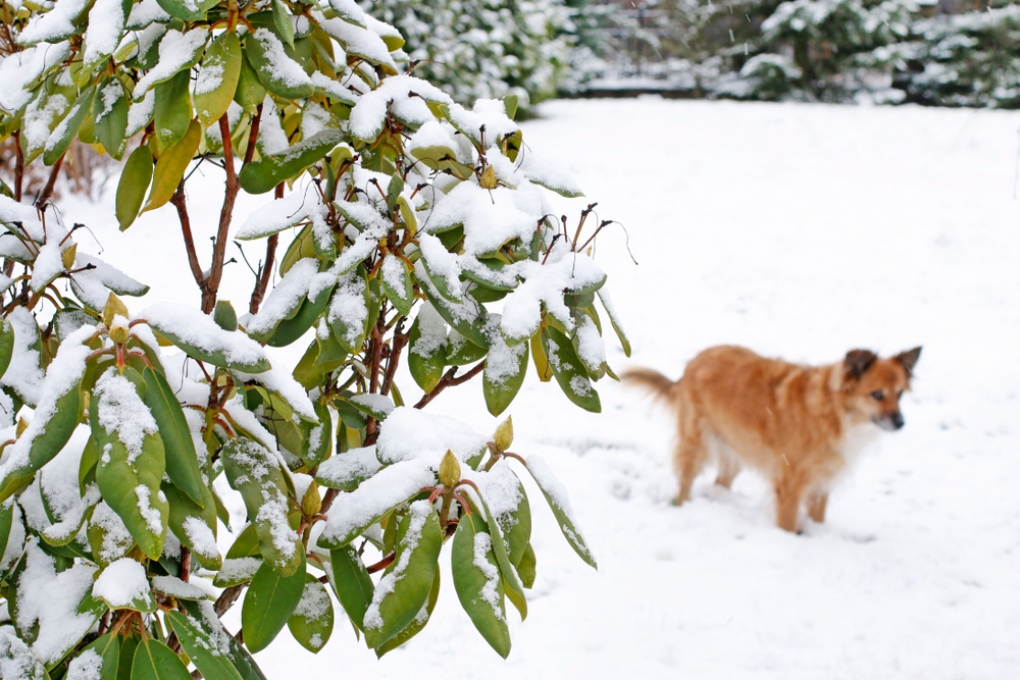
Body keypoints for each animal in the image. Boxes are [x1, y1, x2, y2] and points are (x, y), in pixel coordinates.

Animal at [624, 348, 922, 534]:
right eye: (877, 395)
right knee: (685, 483)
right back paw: (682, 505)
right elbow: (787, 524)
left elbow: (818, 517)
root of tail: (692, 363)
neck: (834, 411)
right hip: (696, 445)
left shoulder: (821, 483)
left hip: (737, 449)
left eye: (899, 394)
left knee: (721, 482)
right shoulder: (791, 485)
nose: (900, 423)